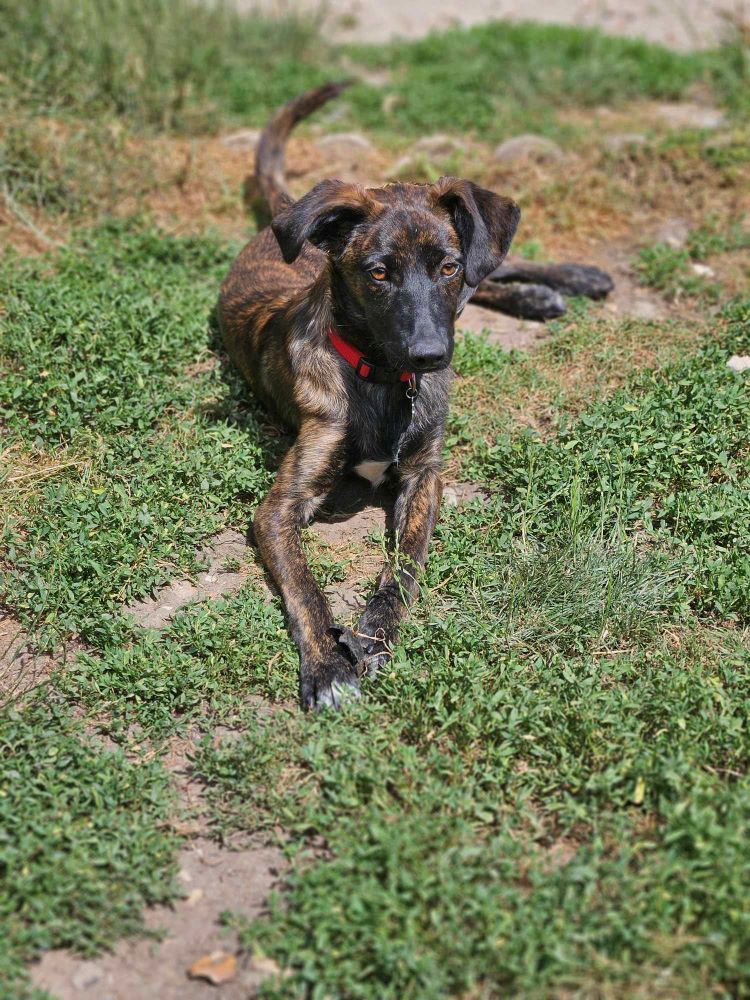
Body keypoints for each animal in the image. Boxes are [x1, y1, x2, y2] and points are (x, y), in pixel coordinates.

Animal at [220, 84, 520, 712]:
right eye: (378, 273)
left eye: (447, 266)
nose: (431, 355)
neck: (383, 380)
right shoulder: (279, 509)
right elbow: (305, 588)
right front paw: (329, 666)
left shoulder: (426, 476)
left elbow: (403, 569)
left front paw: (374, 634)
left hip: (487, 262)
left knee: (498, 268)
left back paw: (572, 283)